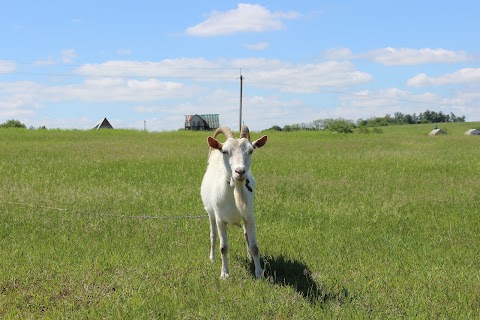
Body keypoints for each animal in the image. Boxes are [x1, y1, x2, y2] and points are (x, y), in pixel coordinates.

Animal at [201, 124, 268, 278]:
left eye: (250, 151)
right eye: (225, 151)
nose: (240, 171)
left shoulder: (249, 217)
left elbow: (254, 246)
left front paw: (259, 273)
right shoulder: (220, 219)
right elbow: (223, 247)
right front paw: (225, 274)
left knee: (246, 236)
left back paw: (249, 257)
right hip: (211, 214)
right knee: (213, 235)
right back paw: (212, 258)